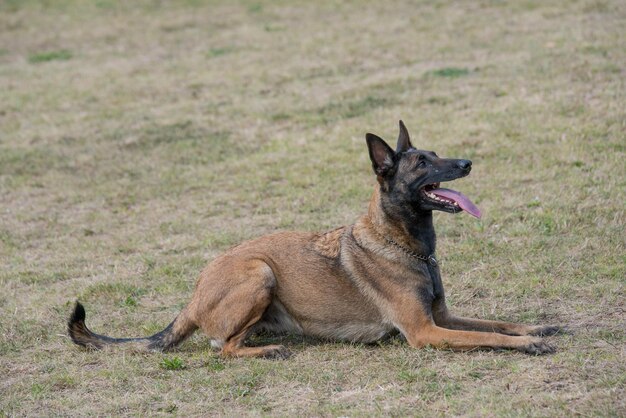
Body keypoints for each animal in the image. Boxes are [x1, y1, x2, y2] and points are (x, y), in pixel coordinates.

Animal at [68, 121, 560, 360]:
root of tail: (192, 297)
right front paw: (528, 345)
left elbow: (495, 322)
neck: (404, 243)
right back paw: (268, 351)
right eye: (422, 163)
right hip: (259, 272)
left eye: (437, 154)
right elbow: (487, 336)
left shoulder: (442, 317)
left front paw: (534, 328)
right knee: (222, 348)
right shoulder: (426, 332)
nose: (467, 163)